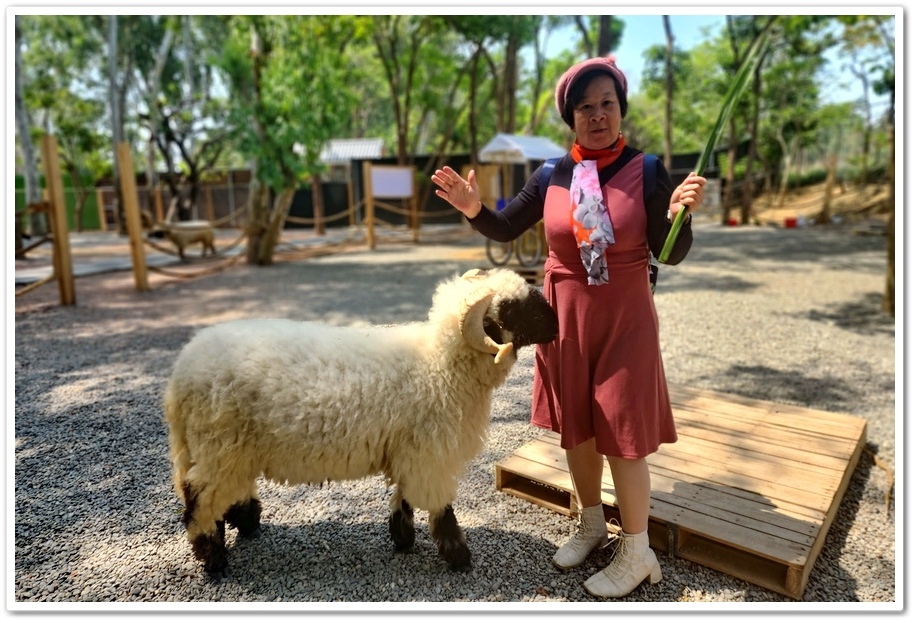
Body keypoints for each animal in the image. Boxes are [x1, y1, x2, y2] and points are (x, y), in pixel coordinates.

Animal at [164, 268, 560, 576]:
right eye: (512, 308)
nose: (556, 325)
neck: (439, 365)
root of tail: (181, 374)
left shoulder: (408, 451)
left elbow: (403, 497)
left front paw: (403, 539)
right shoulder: (429, 455)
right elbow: (441, 509)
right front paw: (459, 557)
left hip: (226, 449)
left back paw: (245, 524)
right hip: (219, 445)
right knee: (199, 502)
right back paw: (214, 559)